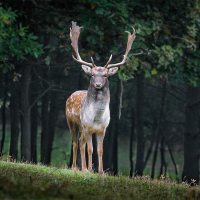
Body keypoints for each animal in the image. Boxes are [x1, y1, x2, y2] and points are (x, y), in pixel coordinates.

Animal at [66, 20, 136, 173]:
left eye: (105, 75)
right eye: (92, 74)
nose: (98, 84)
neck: (97, 118)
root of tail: (70, 95)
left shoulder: (103, 129)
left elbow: (100, 150)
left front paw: (101, 171)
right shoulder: (87, 127)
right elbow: (91, 149)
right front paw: (91, 169)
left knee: (80, 142)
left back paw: (83, 168)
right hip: (72, 123)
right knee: (75, 142)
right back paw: (75, 168)